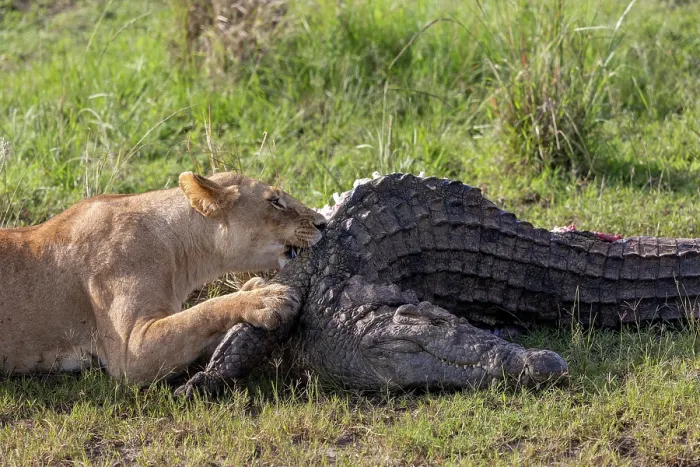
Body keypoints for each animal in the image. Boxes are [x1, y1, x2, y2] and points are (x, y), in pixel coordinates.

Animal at [0, 171, 327, 384]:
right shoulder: (131, 351)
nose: (323, 222)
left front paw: (254, 287)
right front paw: (264, 299)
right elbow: (200, 312)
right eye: (275, 200)